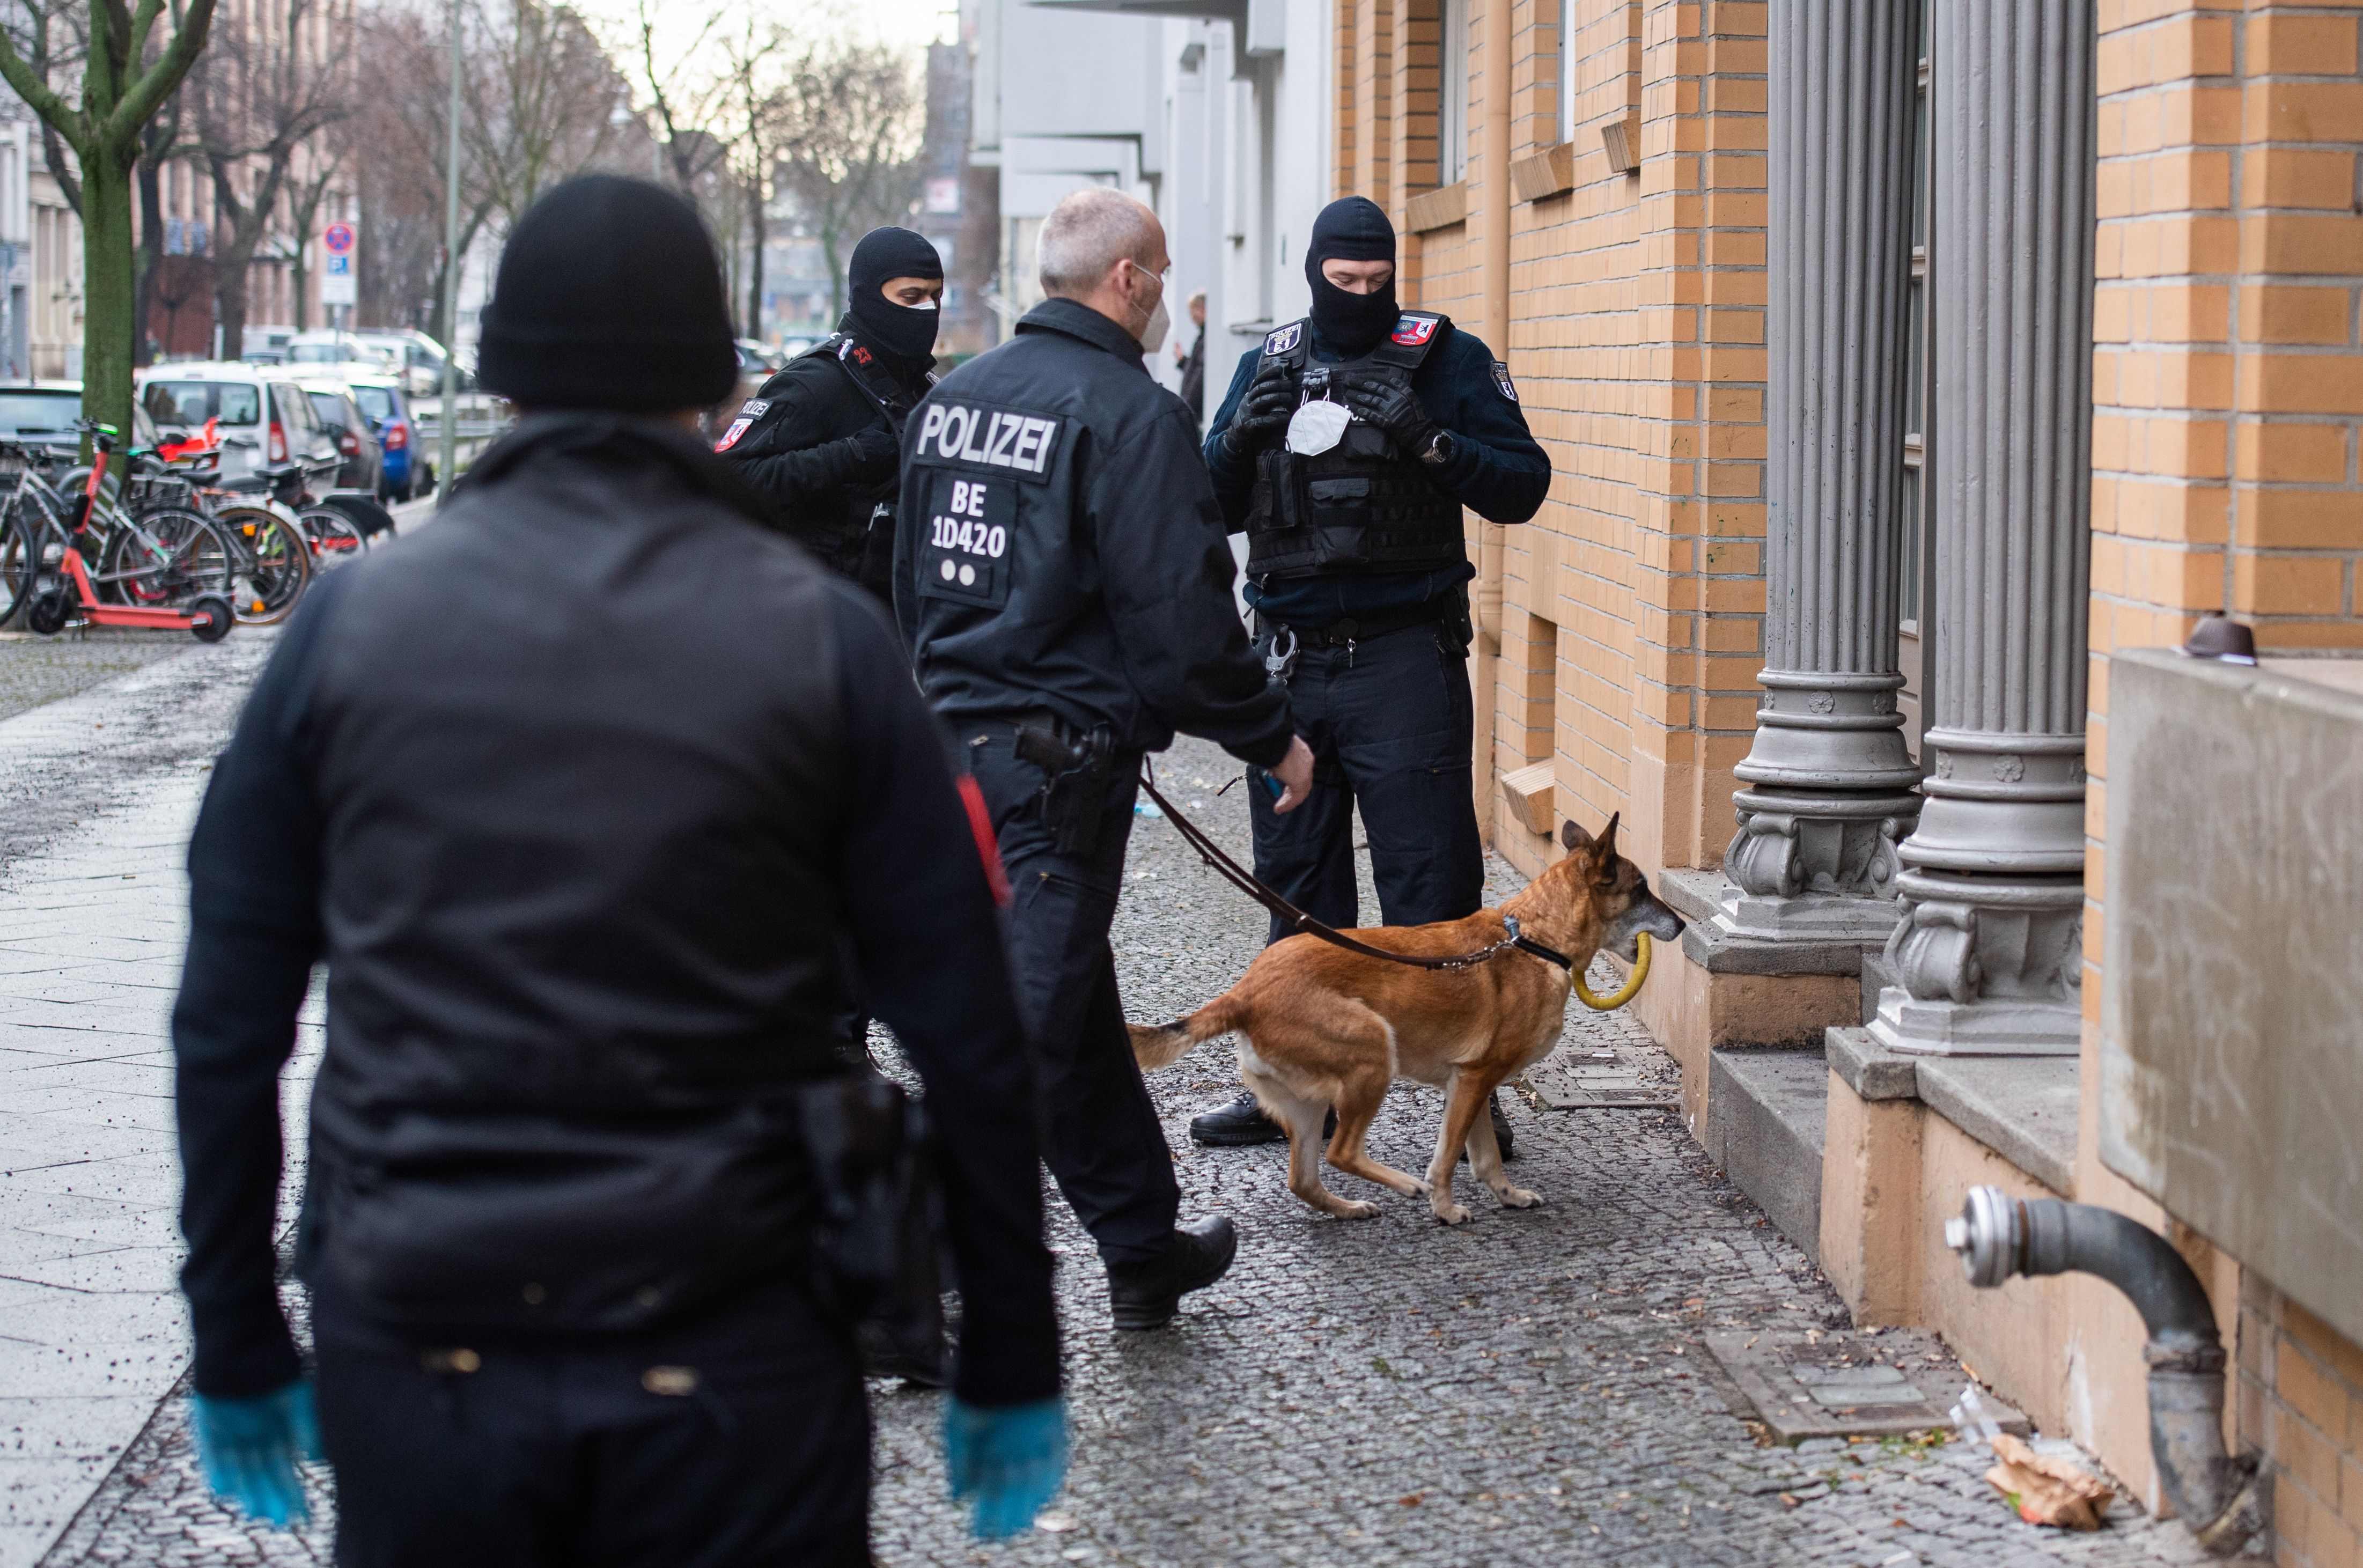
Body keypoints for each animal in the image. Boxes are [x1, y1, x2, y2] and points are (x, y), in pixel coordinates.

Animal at [1124, 812, 1682, 1228]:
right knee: (1341, 1152)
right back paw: (1403, 1184)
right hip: (1374, 1053)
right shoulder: (1474, 1080)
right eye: (1640, 888)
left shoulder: (1470, 1085)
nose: (1680, 924)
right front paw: (1444, 1206)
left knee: (1303, 1178)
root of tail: (1245, 992)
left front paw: (1506, 1196)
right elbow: (1449, 1156)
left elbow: (1484, 1157)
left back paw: (1348, 1207)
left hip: (1309, 1104)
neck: (1530, 938)